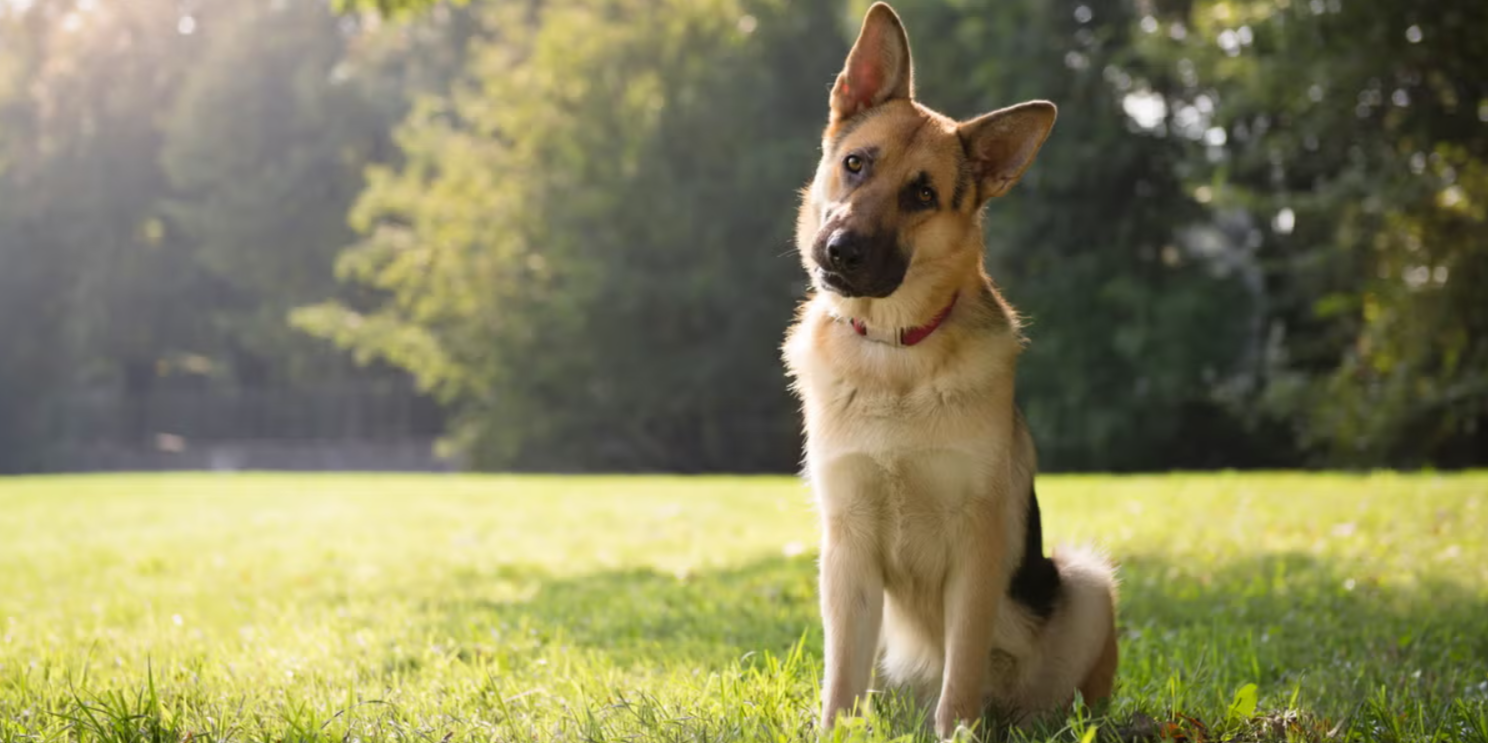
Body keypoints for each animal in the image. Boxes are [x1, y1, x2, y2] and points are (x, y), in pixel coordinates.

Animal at [779, 4, 1118, 738]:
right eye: (855, 164)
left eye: (923, 195)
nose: (840, 251)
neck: (894, 351)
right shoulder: (846, 549)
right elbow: (840, 678)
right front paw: (835, 727)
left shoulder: (977, 548)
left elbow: (961, 672)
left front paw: (957, 730)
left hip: (1086, 583)